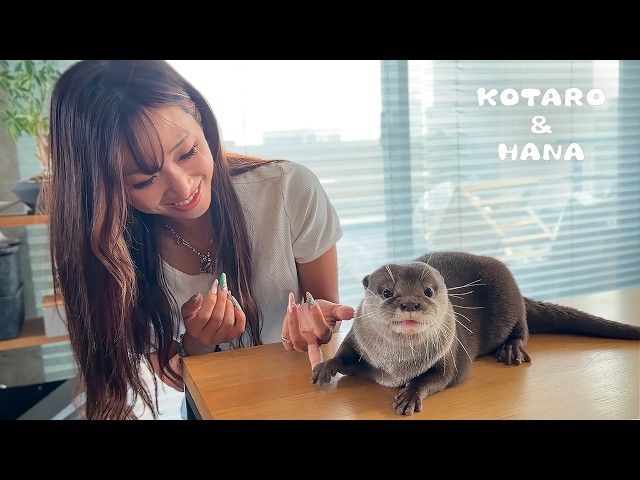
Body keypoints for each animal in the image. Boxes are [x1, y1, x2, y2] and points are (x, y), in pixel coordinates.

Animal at [311, 251, 640, 416]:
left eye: (429, 290)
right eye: (387, 291)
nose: (411, 303)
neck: (396, 365)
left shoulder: (449, 353)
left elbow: (440, 377)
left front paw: (410, 395)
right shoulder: (359, 342)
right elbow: (344, 355)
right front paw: (324, 366)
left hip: (509, 295)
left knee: (522, 328)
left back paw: (511, 349)